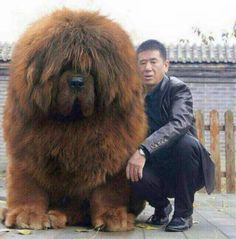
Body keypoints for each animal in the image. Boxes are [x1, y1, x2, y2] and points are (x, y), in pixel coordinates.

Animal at [0, 8, 147, 231]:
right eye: (63, 66)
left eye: (91, 68)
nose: (77, 81)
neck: (74, 124)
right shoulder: (26, 151)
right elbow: (26, 186)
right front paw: (26, 215)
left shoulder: (115, 156)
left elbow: (108, 191)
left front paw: (113, 216)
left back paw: (58, 216)